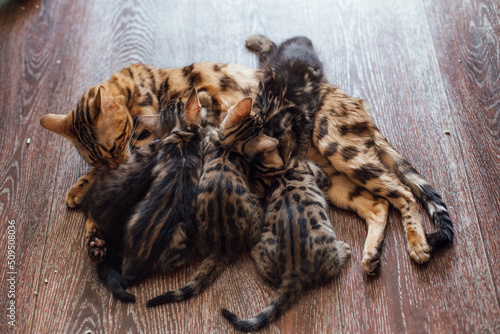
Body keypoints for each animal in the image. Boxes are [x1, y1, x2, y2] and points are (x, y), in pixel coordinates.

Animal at [223, 154, 352, 332]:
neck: (279, 173)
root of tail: (293, 270)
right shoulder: (316, 171)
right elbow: (326, 179)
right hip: (326, 237)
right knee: (331, 269)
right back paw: (343, 250)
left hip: (268, 243)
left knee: (266, 269)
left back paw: (255, 250)